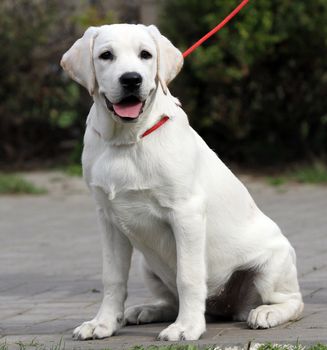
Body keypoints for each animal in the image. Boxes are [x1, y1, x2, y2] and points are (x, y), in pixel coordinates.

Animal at [60, 23, 304, 340]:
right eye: (106, 55)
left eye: (146, 54)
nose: (131, 80)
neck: (127, 140)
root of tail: (226, 308)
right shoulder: (108, 219)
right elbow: (112, 278)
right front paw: (103, 323)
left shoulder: (186, 213)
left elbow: (188, 276)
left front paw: (186, 327)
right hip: (148, 265)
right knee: (171, 299)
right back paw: (147, 310)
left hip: (271, 267)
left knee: (293, 301)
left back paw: (266, 313)